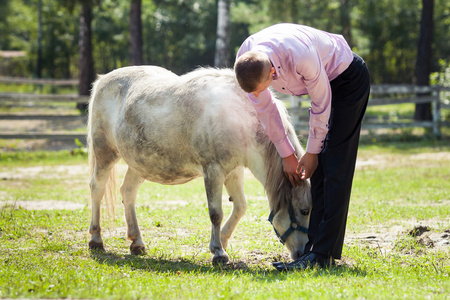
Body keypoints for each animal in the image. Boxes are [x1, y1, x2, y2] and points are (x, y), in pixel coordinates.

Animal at [88, 65, 312, 262]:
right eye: (304, 211)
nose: (304, 253)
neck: (237, 116)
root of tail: (102, 81)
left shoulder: (234, 172)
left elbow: (240, 207)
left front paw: (221, 241)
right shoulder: (213, 171)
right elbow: (216, 213)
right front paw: (219, 253)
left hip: (140, 163)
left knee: (128, 192)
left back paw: (137, 242)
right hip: (105, 153)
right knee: (97, 188)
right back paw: (96, 239)